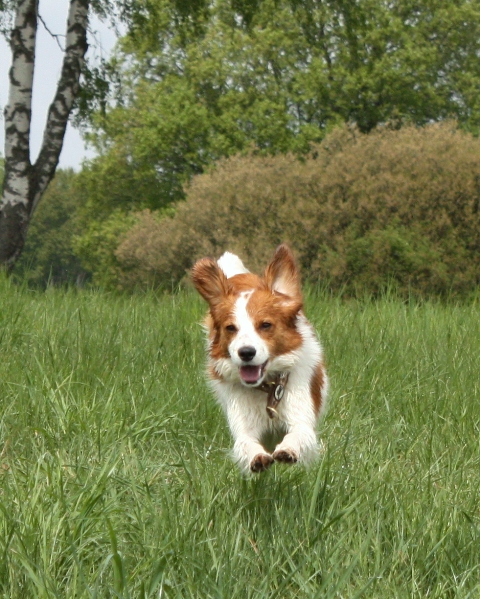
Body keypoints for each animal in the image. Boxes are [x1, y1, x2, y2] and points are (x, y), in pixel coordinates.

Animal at [193, 244, 328, 474]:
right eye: (231, 328)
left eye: (265, 325)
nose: (246, 352)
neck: (267, 388)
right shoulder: (242, 424)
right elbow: (245, 443)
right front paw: (257, 457)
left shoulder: (301, 414)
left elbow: (298, 434)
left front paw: (288, 449)